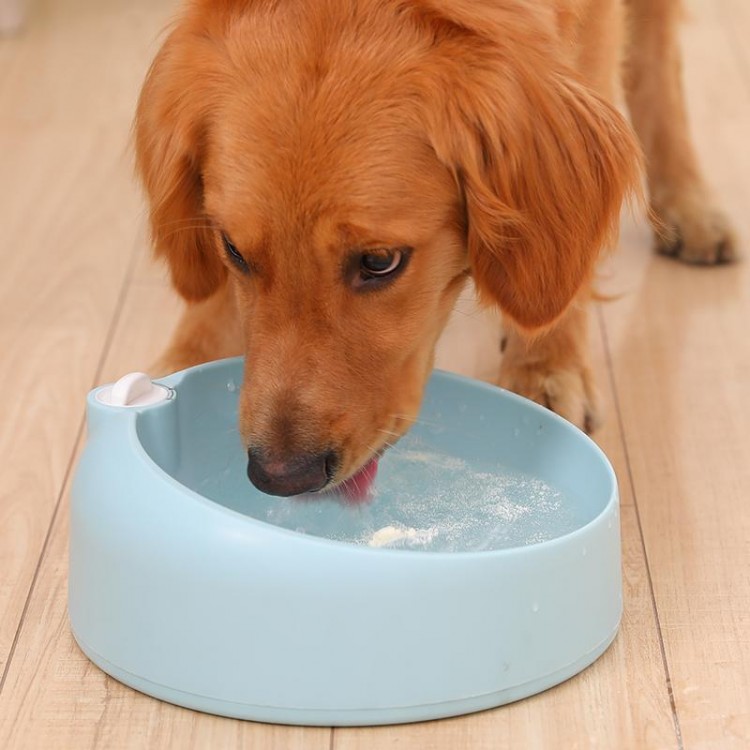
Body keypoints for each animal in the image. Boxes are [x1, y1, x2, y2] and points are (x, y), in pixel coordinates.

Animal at [137, 0, 740, 500]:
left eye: (380, 262)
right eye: (233, 251)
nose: (280, 476)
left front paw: (546, 364)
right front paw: (190, 356)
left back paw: (688, 201)